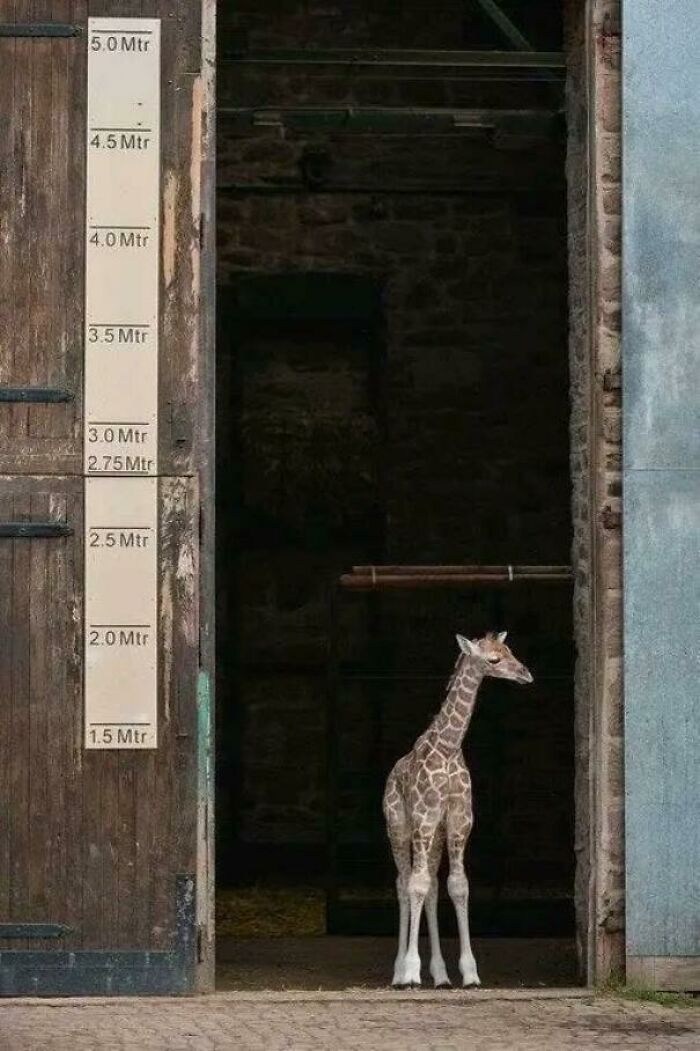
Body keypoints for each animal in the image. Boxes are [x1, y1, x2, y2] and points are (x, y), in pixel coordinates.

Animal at [382, 631, 533, 989]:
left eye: (509, 649)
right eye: (493, 659)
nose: (525, 674)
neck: (449, 747)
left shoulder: (458, 821)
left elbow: (457, 886)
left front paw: (469, 973)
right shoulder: (423, 818)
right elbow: (416, 885)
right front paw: (411, 971)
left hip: (435, 836)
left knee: (432, 886)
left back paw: (439, 975)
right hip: (399, 828)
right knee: (404, 883)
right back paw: (399, 972)